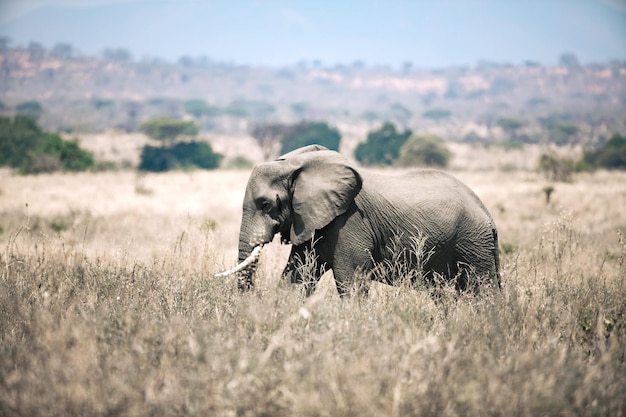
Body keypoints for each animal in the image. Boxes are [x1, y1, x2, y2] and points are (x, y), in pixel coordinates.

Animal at [217, 145, 500, 294]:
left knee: (483, 289)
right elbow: (297, 275)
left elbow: (349, 280)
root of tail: (487, 215)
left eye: (265, 204)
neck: (298, 164)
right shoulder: (311, 219)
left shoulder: (349, 221)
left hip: (472, 241)